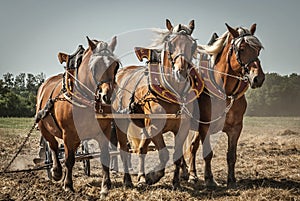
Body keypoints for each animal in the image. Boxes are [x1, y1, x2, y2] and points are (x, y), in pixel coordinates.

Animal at [35, 35, 119, 197]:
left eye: (116, 65)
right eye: (95, 66)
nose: (107, 97)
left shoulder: (104, 131)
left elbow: (105, 156)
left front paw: (105, 187)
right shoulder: (68, 134)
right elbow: (69, 160)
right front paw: (68, 185)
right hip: (44, 127)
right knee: (53, 146)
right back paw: (56, 172)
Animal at [110, 18, 202, 188]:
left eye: (193, 45)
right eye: (170, 44)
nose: (181, 72)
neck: (172, 92)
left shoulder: (182, 128)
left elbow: (176, 155)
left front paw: (175, 182)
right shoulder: (154, 127)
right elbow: (164, 154)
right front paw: (152, 176)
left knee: (141, 148)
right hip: (121, 123)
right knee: (124, 151)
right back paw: (128, 180)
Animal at [184, 23, 266, 188]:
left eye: (258, 49)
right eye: (241, 49)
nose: (258, 78)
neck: (224, 92)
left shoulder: (236, 128)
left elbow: (231, 155)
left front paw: (232, 180)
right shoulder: (205, 127)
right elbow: (208, 154)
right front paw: (209, 179)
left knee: (193, 147)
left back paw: (193, 174)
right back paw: (190, 175)